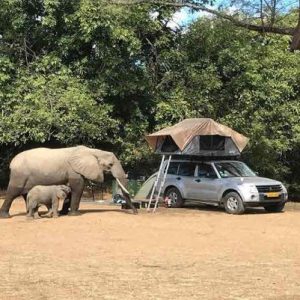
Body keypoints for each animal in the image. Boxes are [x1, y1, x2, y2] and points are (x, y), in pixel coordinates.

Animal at [0, 146, 138, 218]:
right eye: (110, 165)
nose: (135, 212)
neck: (94, 151)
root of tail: (12, 163)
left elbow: (71, 189)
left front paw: (64, 213)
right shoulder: (73, 170)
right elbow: (78, 187)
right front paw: (75, 214)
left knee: (25, 194)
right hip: (20, 175)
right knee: (13, 192)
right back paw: (5, 216)